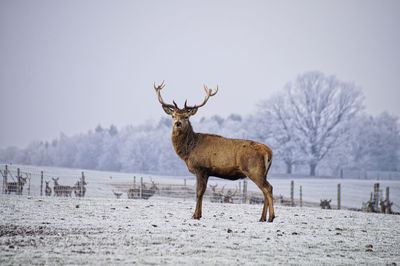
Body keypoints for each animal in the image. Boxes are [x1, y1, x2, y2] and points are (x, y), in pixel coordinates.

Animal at [153, 81, 276, 222]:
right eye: (173, 115)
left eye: (186, 116)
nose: (177, 123)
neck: (189, 151)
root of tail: (269, 152)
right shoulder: (207, 172)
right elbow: (202, 192)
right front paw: (199, 214)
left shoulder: (201, 168)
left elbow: (199, 192)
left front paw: (195, 215)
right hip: (264, 171)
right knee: (265, 190)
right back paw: (262, 218)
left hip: (254, 169)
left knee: (268, 188)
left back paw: (271, 217)